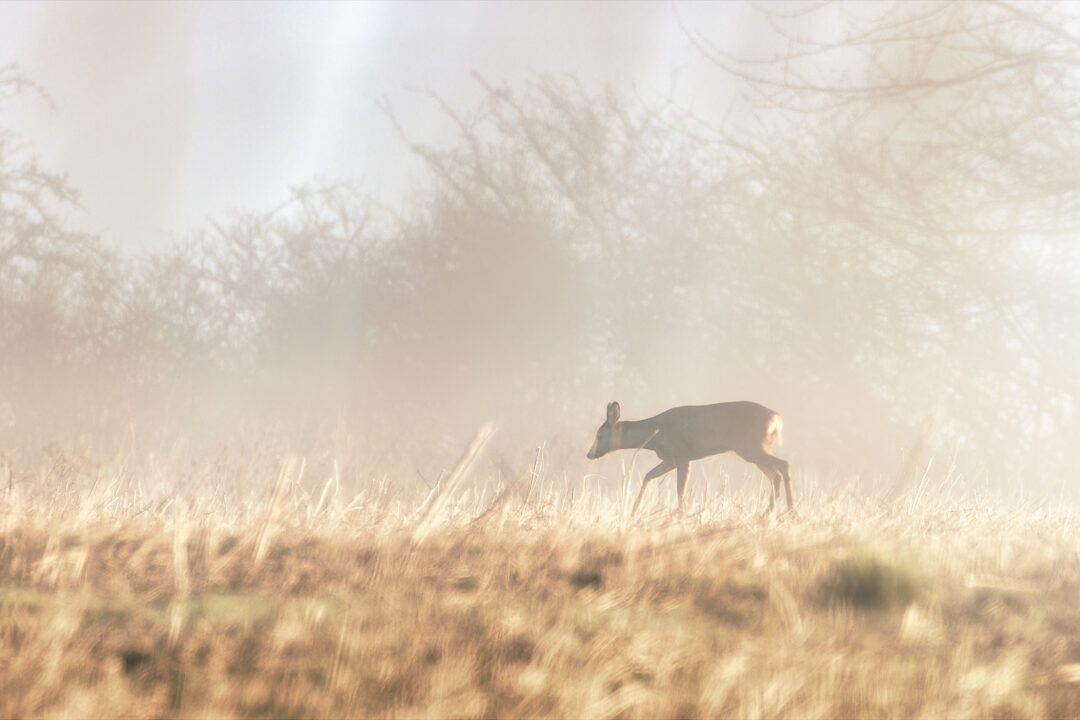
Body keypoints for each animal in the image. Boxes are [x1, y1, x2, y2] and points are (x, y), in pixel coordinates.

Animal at [586, 401, 793, 516]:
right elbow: (648, 476)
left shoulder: (682, 455)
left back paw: (790, 510)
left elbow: (680, 489)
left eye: (599, 436)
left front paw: (680, 515)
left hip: (751, 448)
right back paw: (770, 512)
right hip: (754, 451)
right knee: (775, 475)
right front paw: (633, 511)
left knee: (784, 465)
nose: (589, 454)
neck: (656, 435)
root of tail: (777, 418)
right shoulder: (670, 459)